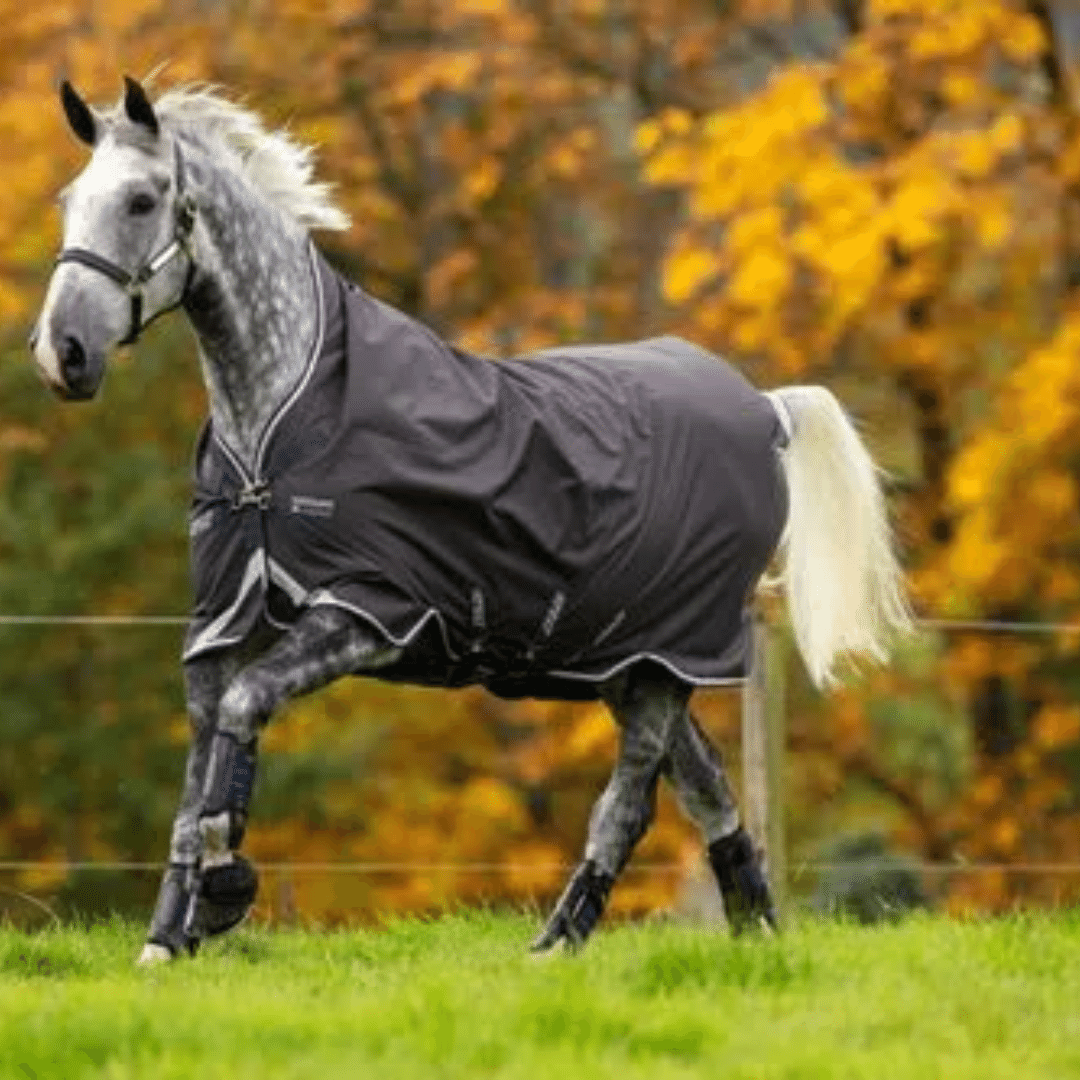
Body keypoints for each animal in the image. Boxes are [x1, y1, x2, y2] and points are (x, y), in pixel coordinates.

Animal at [31, 77, 911, 964]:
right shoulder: (219, 625)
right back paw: (752, 931)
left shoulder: (366, 613)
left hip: (669, 657)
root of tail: (765, 408)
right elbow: (194, 783)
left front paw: (222, 893)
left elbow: (244, 714)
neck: (281, 430)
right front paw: (166, 940)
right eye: (70, 199)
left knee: (629, 803)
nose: (61, 352)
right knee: (707, 786)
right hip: (631, 661)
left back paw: (556, 943)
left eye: (142, 200)